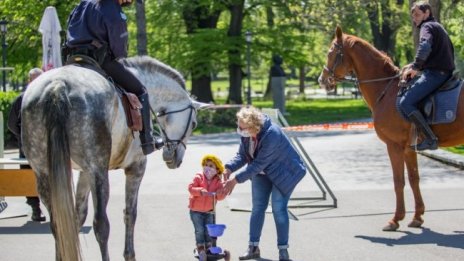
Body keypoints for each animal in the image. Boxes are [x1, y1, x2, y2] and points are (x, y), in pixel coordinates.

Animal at [20, 55, 205, 260]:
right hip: (99, 172)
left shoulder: (84, 173)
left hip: (45, 174)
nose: (174, 157)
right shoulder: (136, 167)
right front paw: (129, 254)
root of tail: (57, 85)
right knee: (101, 225)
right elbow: (130, 213)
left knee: (57, 224)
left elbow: (77, 216)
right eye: (194, 124)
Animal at [318, 25, 464, 230]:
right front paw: (417, 217)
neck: (386, 89)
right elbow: (413, 179)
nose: (322, 80)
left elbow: (398, 181)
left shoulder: (393, 146)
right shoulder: (409, 149)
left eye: (331, 53)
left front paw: (395, 219)